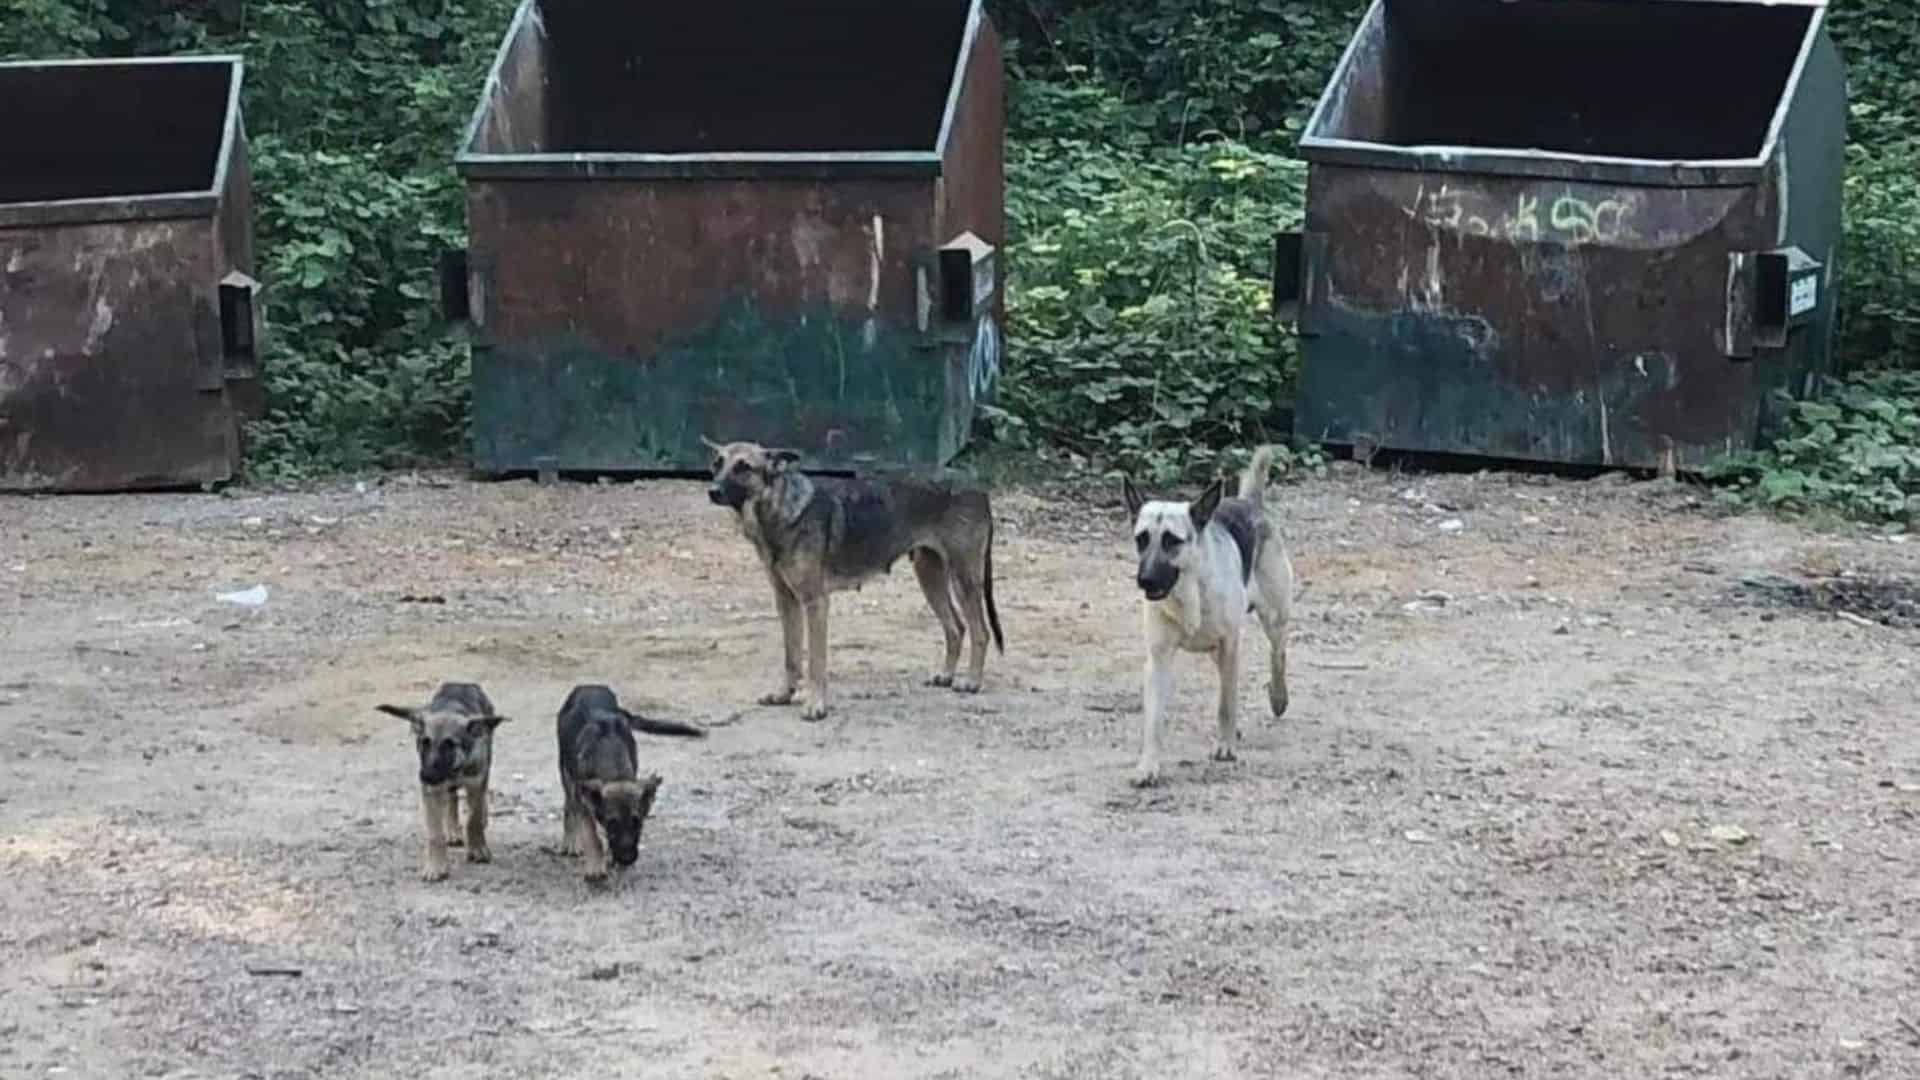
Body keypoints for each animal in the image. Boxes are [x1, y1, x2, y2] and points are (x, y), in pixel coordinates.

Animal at [374, 680, 506, 876]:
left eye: (449, 745)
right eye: (424, 742)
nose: (426, 775)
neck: (454, 770)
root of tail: (462, 683)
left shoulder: (476, 780)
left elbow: (473, 819)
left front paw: (478, 848)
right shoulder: (432, 790)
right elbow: (435, 832)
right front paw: (436, 867)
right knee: (452, 799)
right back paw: (453, 831)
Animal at [556, 684, 706, 880]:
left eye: (638, 821)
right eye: (611, 823)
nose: (626, 860)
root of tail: (590, 685)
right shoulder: (584, 798)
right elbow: (592, 836)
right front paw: (596, 866)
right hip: (566, 772)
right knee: (569, 805)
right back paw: (571, 841)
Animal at [702, 432, 1006, 718]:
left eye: (743, 467)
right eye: (717, 464)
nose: (712, 491)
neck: (780, 509)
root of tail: (978, 486)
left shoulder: (815, 602)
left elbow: (815, 662)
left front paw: (816, 706)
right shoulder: (786, 601)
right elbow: (791, 657)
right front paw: (783, 695)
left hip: (964, 578)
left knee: (980, 631)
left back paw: (972, 682)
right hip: (929, 576)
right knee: (956, 627)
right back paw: (946, 675)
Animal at [1121, 445, 1297, 780]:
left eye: (1172, 541)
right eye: (1142, 539)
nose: (1145, 580)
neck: (1189, 590)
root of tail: (1249, 501)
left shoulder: (1230, 645)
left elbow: (1226, 703)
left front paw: (1225, 747)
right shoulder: (1159, 659)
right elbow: (1154, 720)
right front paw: (1148, 765)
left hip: (1273, 619)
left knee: (1277, 654)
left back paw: (1278, 698)